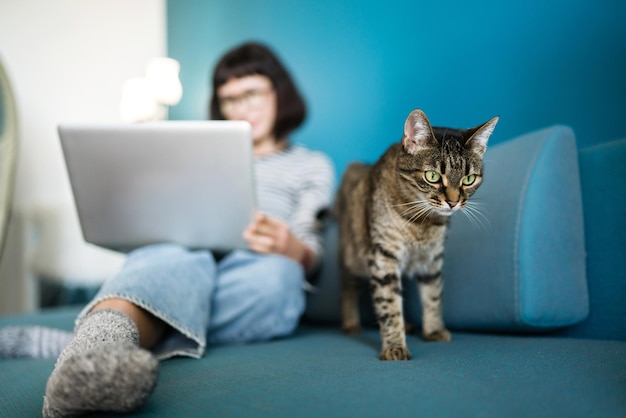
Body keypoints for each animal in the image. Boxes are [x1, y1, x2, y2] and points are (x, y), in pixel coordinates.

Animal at [336, 109, 498, 360]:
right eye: (432, 176)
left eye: (468, 179)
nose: (453, 202)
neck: (421, 222)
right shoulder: (383, 258)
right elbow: (389, 305)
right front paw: (394, 345)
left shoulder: (433, 259)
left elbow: (433, 296)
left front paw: (433, 330)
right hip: (351, 257)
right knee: (348, 289)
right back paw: (351, 323)